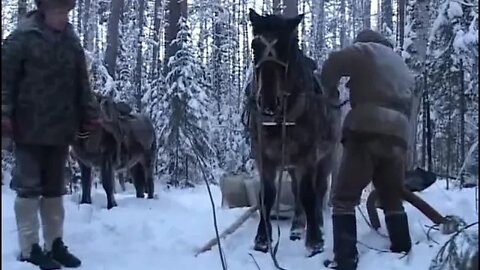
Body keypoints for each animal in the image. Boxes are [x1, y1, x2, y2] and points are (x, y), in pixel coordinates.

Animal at [246, 9, 344, 256]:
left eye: (286, 47)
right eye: (254, 45)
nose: (268, 102)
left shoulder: (308, 157)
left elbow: (309, 194)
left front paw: (315, 241)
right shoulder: (265, 158)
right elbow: (267, 196)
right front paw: (262, 239)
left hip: (326, 157)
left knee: (318, 190)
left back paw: (316, 224)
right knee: (297, 190)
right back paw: (297, 226)